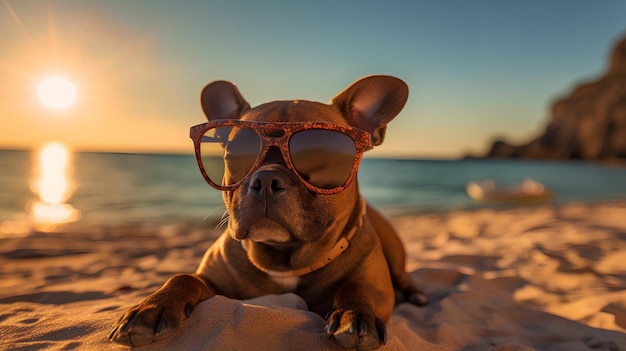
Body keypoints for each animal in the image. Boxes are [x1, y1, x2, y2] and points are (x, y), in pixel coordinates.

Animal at [109, 75, 426, 350]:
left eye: (323, 155)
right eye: (233, 154)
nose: (266, 179)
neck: (285, 262)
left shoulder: (377, 288)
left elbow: (357, 288)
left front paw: (356, 315)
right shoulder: (213, 280)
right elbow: (184, 277)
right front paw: (152, 307)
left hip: (395, 251)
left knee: (403, 276)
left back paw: (418, 295)